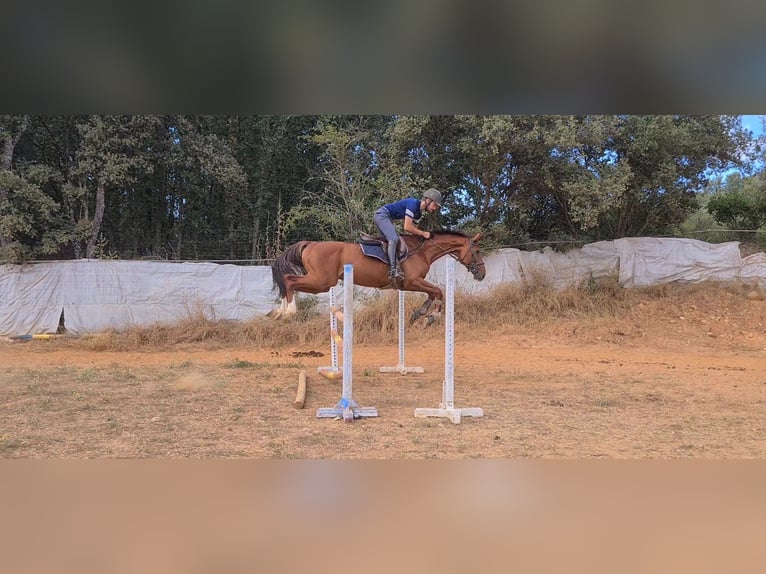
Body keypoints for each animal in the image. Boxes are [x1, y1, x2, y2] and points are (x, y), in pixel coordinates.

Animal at [270, 232, 486, 326]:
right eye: (476, 251)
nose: (482, 274)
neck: (422, 251)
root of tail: (311, 244)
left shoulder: (409, 285)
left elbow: (433, 293)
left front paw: (421, 313)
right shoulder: (412, 281)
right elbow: (438, 290)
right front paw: (433, 316)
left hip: (320, 281)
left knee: (288, 280)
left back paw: (279, 313)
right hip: (322, 282)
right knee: (290, 280)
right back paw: (288, 312)